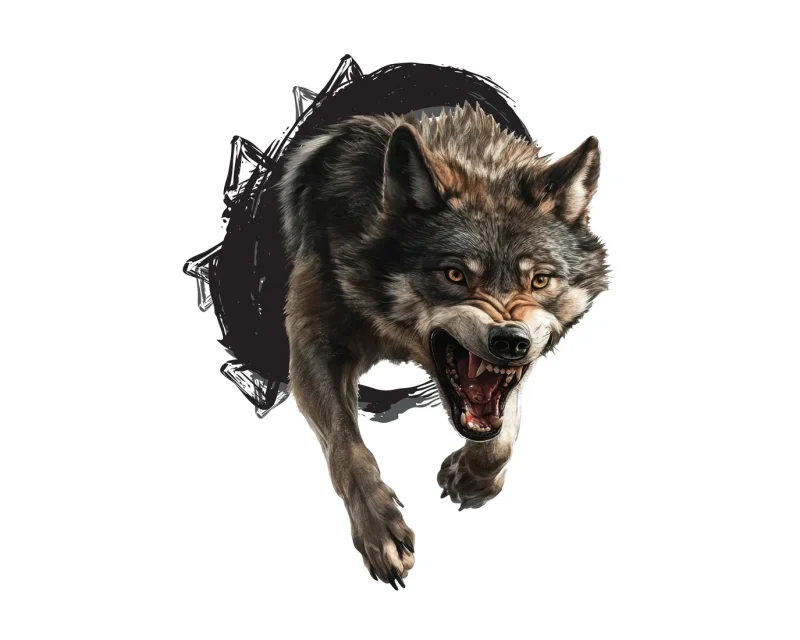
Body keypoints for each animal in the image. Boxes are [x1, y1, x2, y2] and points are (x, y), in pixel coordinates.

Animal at [277, 103, 609, 589]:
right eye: (455, 275)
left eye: (539, 280)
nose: (511, 341)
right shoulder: (313, 343)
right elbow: (348, 450)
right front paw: (380, 532)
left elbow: (502, 437)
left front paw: (472, 476)